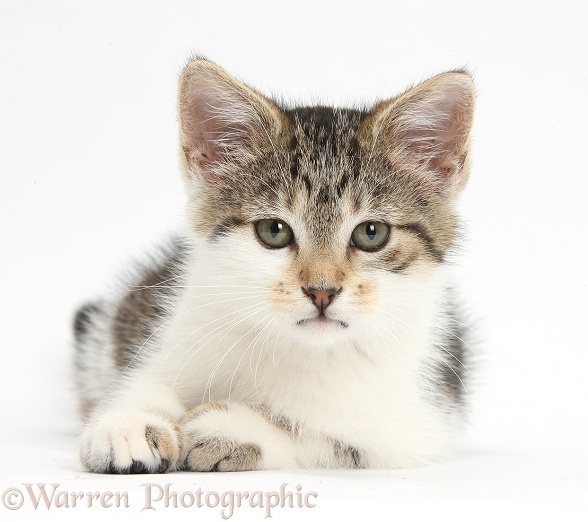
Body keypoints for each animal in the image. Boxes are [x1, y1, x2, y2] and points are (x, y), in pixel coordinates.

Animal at [76, 57, 476, 472]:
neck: (294, 346)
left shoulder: (414, 428)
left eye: (371, 233)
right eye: (274, 231)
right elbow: (144, 382)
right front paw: (131, 422)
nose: (322, 291)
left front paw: (233, 427)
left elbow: (328, 440)